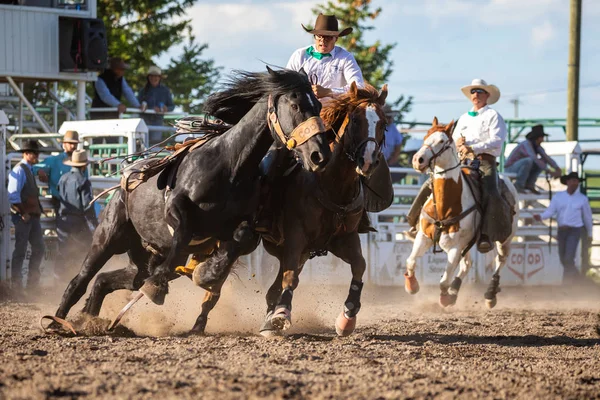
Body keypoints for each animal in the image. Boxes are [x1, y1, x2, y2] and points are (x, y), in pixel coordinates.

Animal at [406, 117, 516, 308]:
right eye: (426, 136)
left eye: (441, 141)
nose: (418, 160)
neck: (446, 205)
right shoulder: (423, 237)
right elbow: (411, 261)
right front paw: (412, 286)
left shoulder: (455, 247)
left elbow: (443, 281)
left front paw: (445, 297)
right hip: (468, 245)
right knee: (467, 264)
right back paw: (455, 290)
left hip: (505, 239)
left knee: (500, 261)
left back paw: (490, 294)